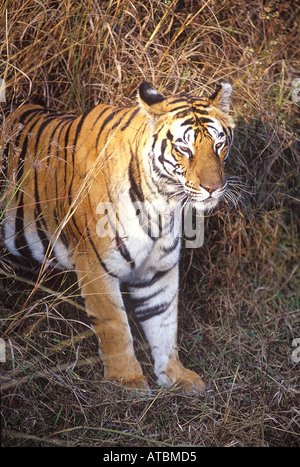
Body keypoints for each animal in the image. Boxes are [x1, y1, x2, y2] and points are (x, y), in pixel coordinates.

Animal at [0, 81, 234, 394]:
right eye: (184, 148)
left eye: (219, 144)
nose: (213, 188)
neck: (162, 202)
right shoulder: (94, 264)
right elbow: (115, 324)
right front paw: (127, 380)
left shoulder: (158, 269)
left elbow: (164, 321)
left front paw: (175, 375)